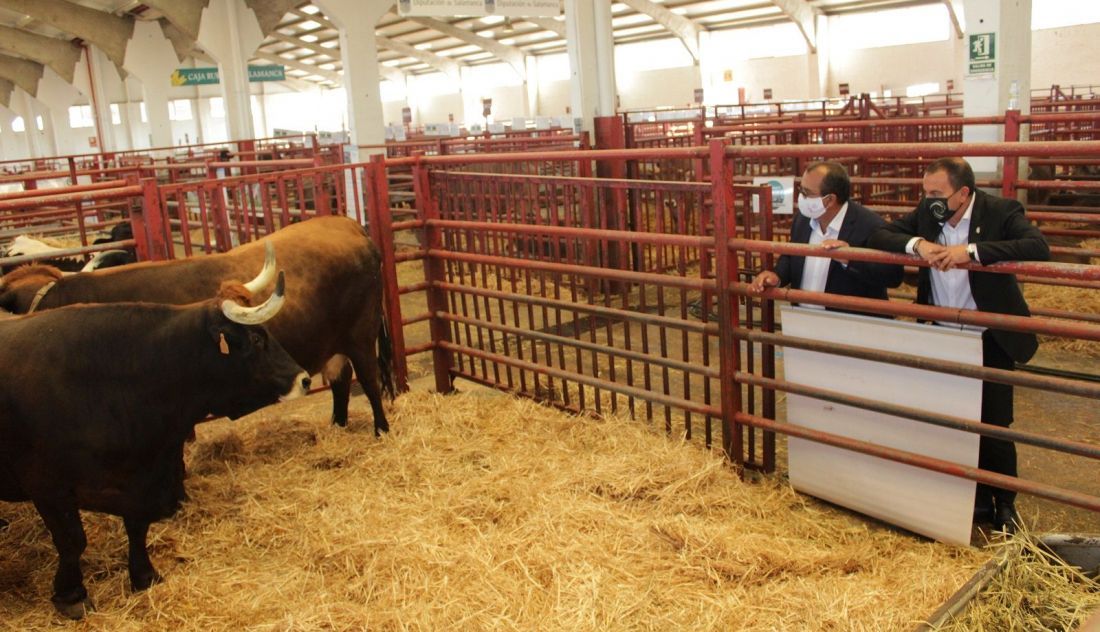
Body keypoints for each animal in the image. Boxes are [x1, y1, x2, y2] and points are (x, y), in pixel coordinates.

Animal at [0, 216, 396, 435]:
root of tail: (348, 225)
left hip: (360, 337)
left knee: (370, 382)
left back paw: (381, 430)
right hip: (333, 345)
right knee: (341, 381)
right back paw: (337, 428)